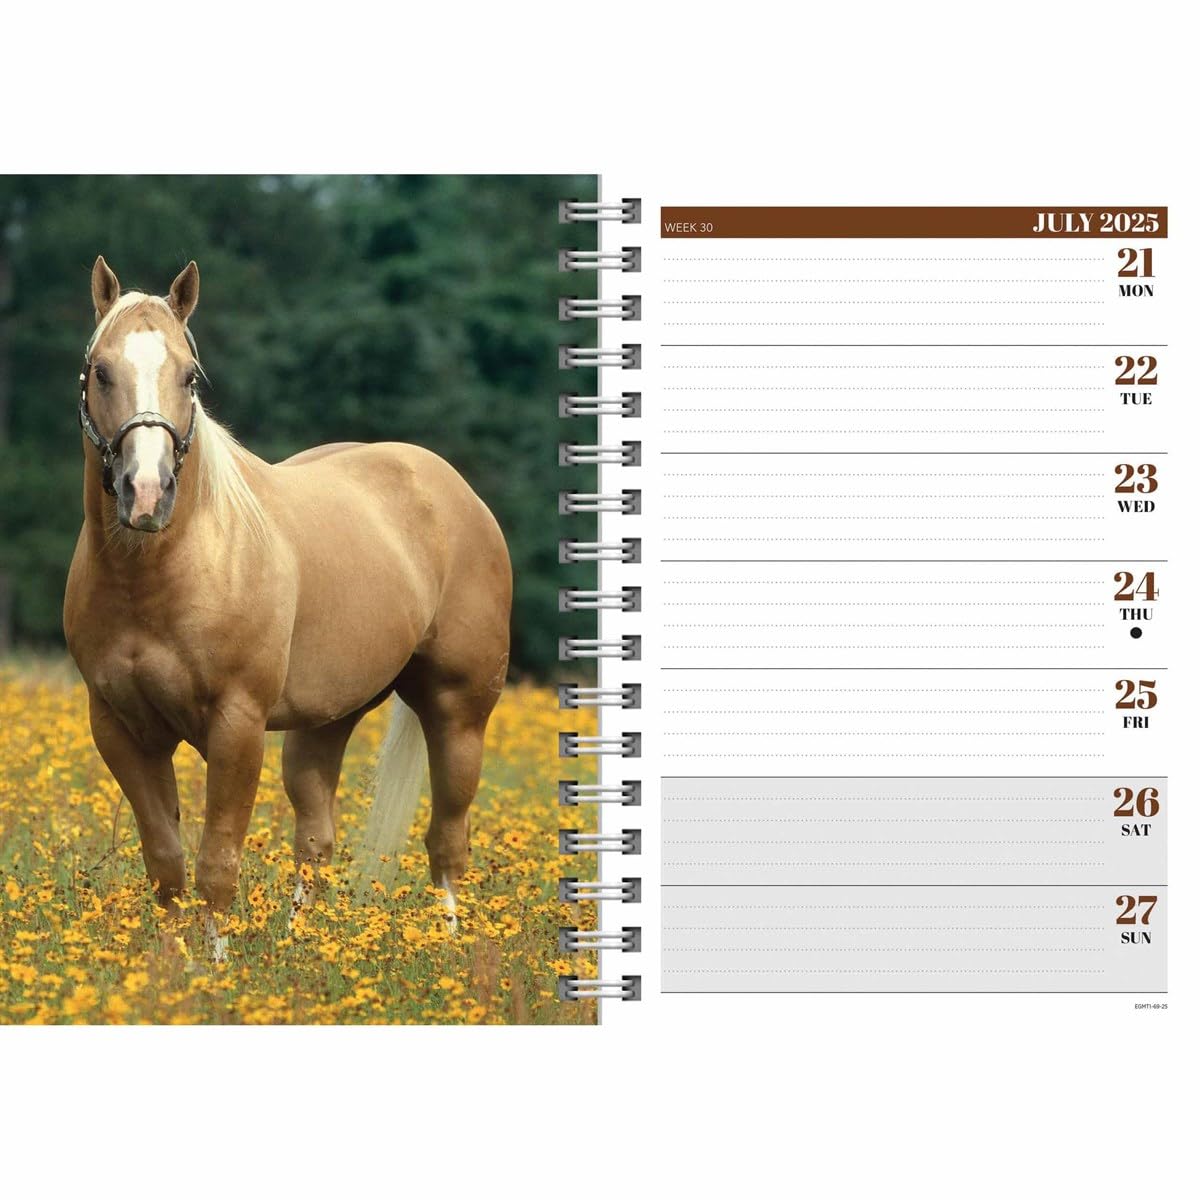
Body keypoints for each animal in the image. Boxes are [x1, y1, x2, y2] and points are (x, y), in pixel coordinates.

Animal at [63, 256, 512, 955]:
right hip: (326, 721)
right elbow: (166, 865)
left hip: (459, 711)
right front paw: (167, 971)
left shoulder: (237, 725)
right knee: (317, 840)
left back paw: (449, 948)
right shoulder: (120, 729)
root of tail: (449, 487)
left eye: (189, 376)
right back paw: (307, 948)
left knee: (447, 844)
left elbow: (217, 865)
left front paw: (215, 968)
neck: (163, 573)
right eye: (101, 371)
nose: (147, 493)